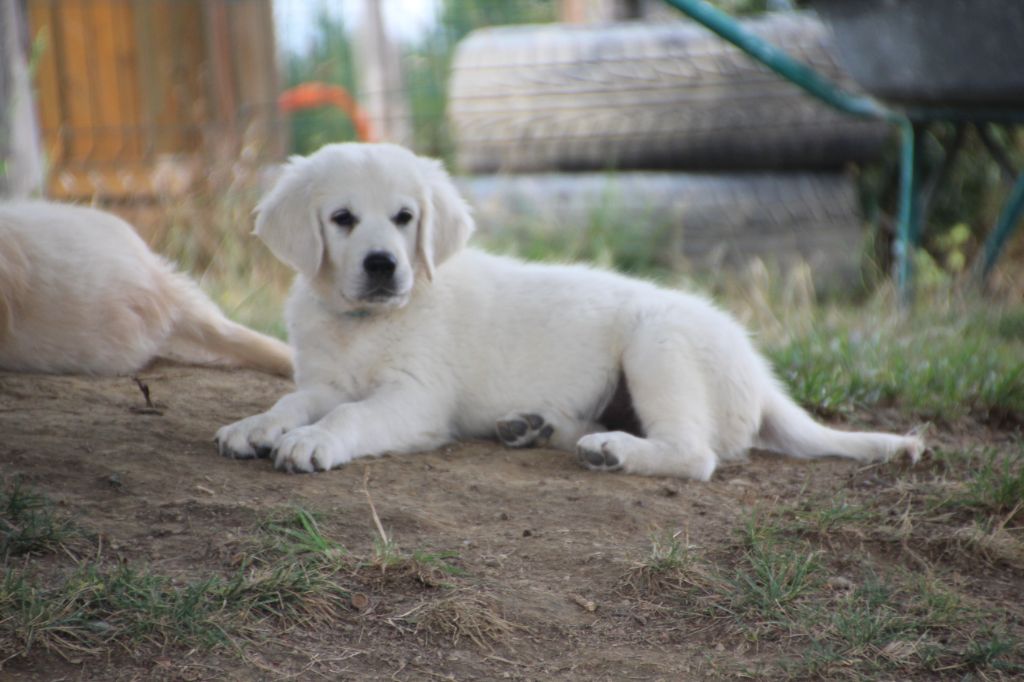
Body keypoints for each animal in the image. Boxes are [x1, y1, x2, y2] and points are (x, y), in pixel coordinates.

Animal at [214, 142, 921, 477]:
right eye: (342, 219)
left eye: (405, 217)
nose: (384, 265)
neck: (365, 323)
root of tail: (759, 373)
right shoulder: (325, 380)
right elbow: (294, 401)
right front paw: (258, 425)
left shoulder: (415, 398)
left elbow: (351, 417)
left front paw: (312, 442)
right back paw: (535, 427)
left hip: (657, 345)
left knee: (696, 454)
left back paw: (613, 451)